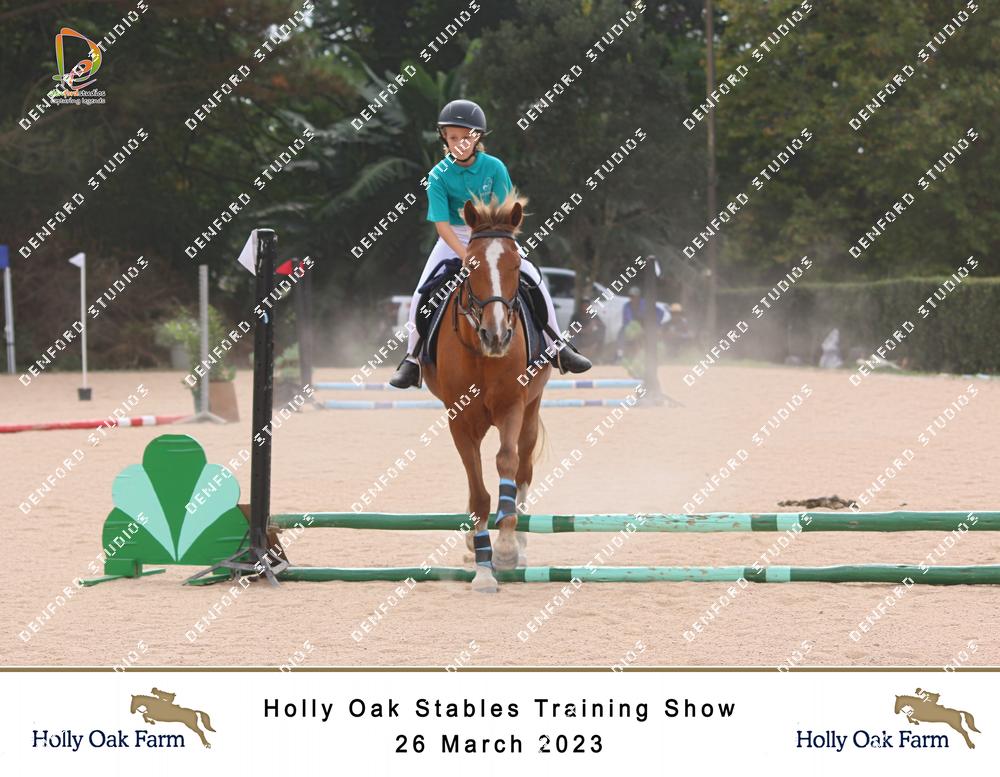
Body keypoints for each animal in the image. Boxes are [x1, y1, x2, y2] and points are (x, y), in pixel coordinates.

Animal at [423, 190, 550, 593]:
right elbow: (477, 489)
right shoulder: (459, 419)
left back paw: (520, 545)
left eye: (515, 265)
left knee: (523, 469)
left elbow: (506, 463)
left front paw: (506, 548)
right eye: (470, 266)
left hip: (532, 409)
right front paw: (482, 567)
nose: (496, 336)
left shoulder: (512, 406)